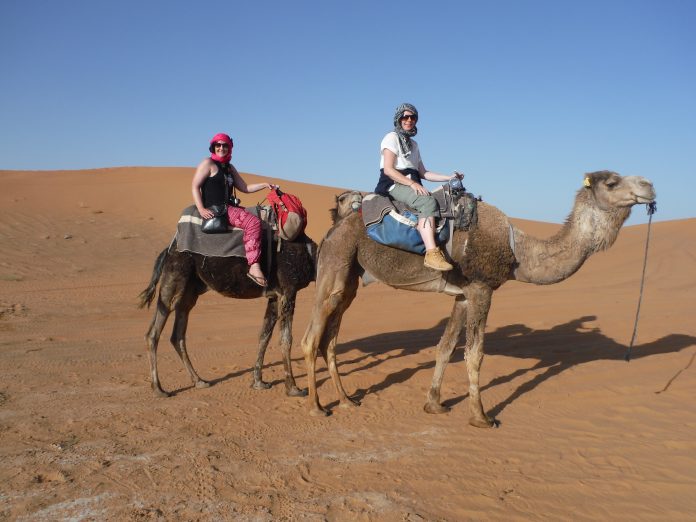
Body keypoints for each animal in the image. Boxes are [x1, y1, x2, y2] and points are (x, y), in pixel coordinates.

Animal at [139, 190, 362, 394]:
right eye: (343, 198)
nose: (359, 196)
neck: (310, 256)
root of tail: (168, 250)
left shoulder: (274, 296)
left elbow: (264, 336)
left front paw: (258, 382)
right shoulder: (288, 291)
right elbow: (286, 339)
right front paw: (293, 387)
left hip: (190, 291)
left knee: (178, 334)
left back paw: (199, 380)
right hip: (175, 277)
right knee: (153, 332)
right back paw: (158, 388)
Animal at [302, 173, 656, 424]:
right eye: (612, 181)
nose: (649, 185)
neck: (516, 251)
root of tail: (335, 225)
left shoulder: (463, 295)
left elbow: (445, 348)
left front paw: (434, 404)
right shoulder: (482, 289)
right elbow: (474, 355)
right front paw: (481, 416)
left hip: (351, 277)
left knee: (329, 339)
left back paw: (347, 400)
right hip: (336, 263)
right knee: (311, 338)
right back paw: (316, 406)